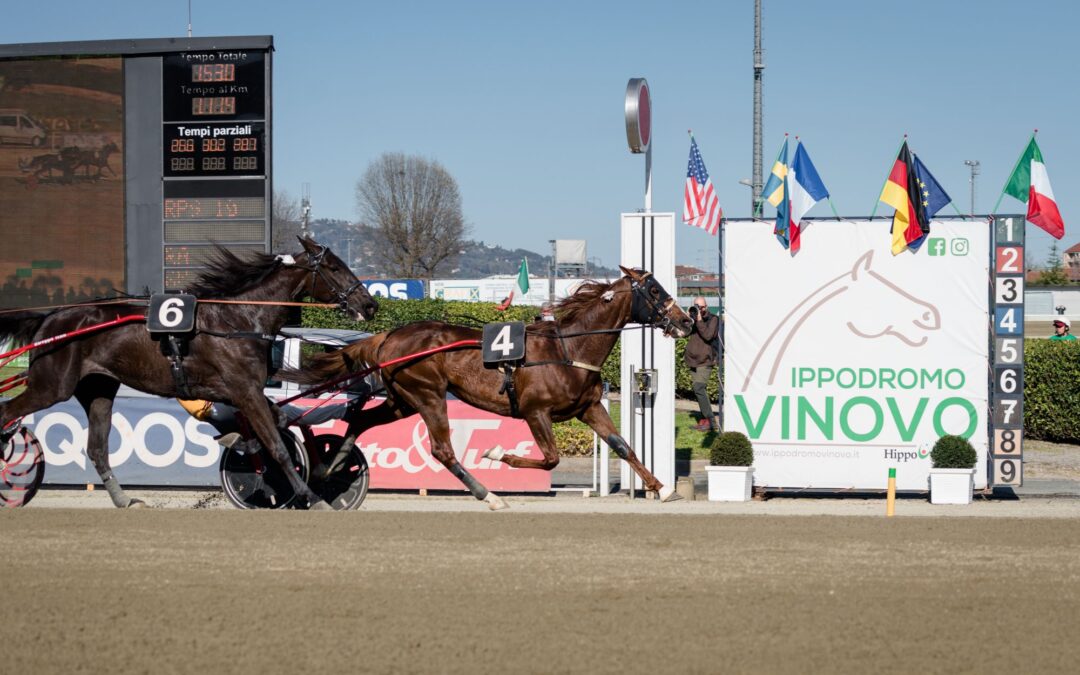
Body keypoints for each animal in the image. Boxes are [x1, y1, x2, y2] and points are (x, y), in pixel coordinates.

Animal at [0, 236, 380, 505]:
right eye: (334, 267)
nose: (370, 304)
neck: (240, 321)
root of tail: (50, 317)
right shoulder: (246, 392)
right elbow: (277, 445)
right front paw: (311, 496)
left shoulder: (245, 395)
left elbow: (288, 421)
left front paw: (323, 468)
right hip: (53, 385)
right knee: (7, 412)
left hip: (98, 389)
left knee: (96, 448)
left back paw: (124, 500)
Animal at [287, 265, 691, 507]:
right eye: (654, 290)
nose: (687, 321)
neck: (568, 349)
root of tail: (388, 335)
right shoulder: (535, 411)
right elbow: (551, 459)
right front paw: (497, 454)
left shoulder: (588, 408)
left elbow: (623, 446)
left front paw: (662, 488)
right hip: (428, 395)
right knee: (442, 450)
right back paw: (489, 494)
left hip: (402, 398)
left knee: (360, 420)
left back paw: (329, 468)